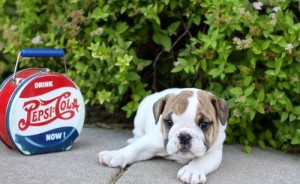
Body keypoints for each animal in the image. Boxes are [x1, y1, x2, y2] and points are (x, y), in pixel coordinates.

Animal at [97, 88, 229, 183]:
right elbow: (134, 149)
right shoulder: (151, 141)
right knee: (138, 133)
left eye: (204, 125)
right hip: (139, 118)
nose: (184, 136)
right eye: (169, 122)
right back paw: (133, 140)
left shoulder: (214, 152)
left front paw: (191, 171)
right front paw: (114, 155)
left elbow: (201, 161)